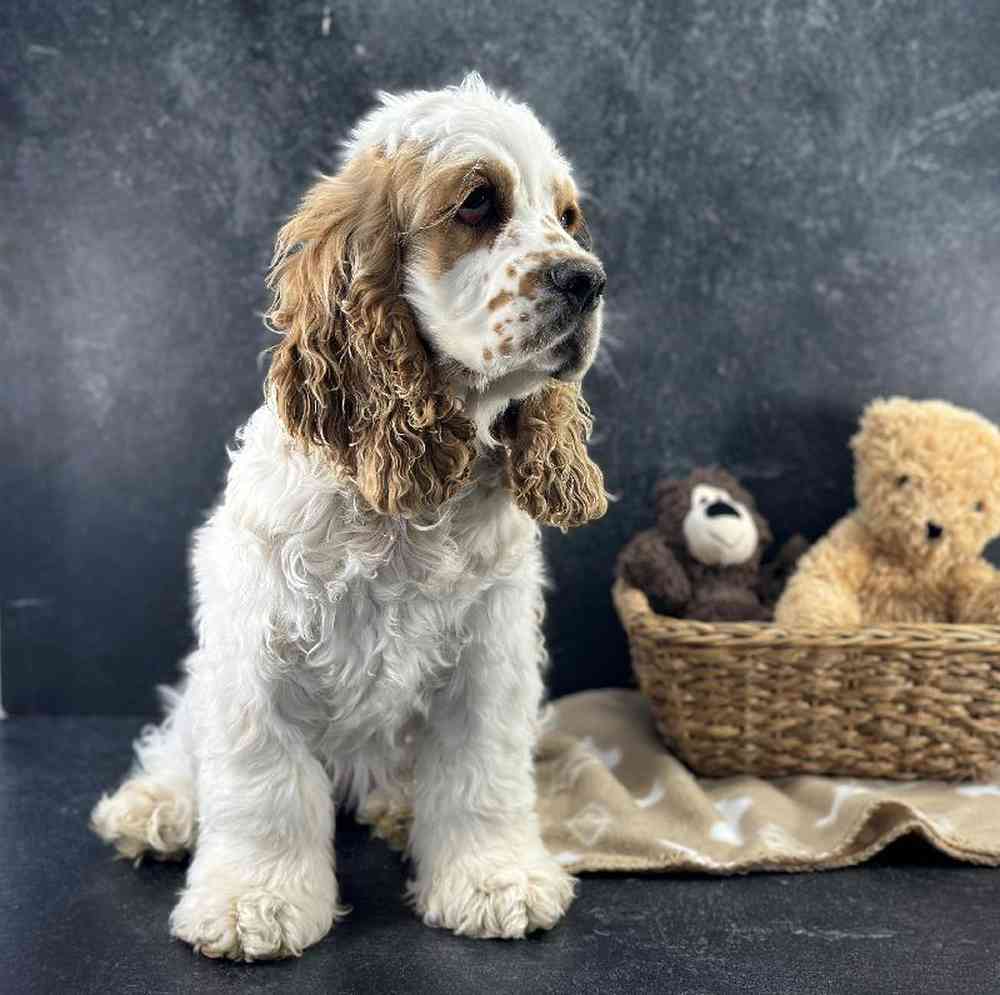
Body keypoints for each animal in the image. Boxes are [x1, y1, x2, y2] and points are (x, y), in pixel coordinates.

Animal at [94, 74, 608, 960]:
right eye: (478, 201)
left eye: (568, 217)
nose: (588, 280)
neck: (410, 504)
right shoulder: (258, 650)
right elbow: (262, 789)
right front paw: (253, 902)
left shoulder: (489, 657)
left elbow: (481, 778)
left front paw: (494, 880)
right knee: (178, 736)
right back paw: (154, 806)